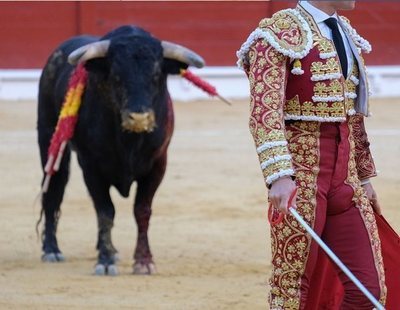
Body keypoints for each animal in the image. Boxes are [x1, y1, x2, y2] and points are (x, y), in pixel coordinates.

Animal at [36, 25, 206, 274]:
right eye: (116, 76)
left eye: (156, 75)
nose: (139, 118)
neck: (129, 141)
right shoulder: (91, 167)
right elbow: (105, 211)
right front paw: (105, 262)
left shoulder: (158, 164)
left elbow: (141, 210)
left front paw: (143, 261)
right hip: (49, 137)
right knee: (54, 188)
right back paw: (51, 250)